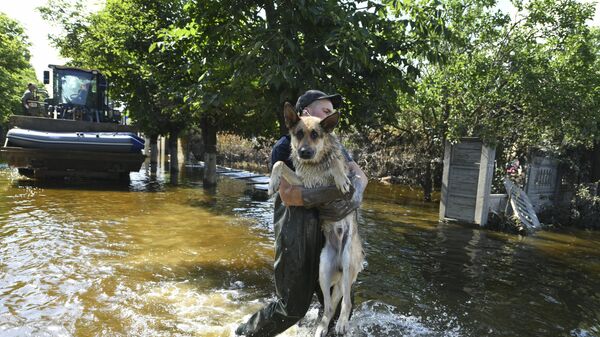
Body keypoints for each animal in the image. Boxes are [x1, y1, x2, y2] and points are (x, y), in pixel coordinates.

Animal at [268, 101, 364, 334]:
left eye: (315, 134)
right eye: (298, 134)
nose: (304, 152)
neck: (315, 163)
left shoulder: (348, 175)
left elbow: (337, 164)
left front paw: (339, 177)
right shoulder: (304, 184)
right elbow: (279, 164)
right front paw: (272, 183)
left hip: (348, 262)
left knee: (346, 303)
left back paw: (342, 324)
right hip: (323, 271)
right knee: (329, 307)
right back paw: (322, 327)